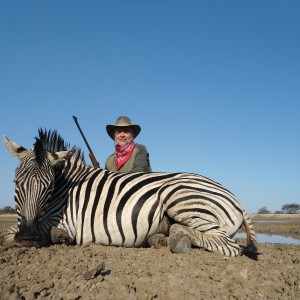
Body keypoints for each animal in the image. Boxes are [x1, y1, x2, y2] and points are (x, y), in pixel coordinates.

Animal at [2, 127, 258, 258]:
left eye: (49, 186)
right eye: (16, 182)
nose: (26, 238)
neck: (65, 189)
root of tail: (235, 198)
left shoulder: (64, 221)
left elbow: (8, 233)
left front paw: (56, 237)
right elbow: (8, 231)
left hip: (178, 196)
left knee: (228, 245)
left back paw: (177, 238)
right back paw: (164, 236)